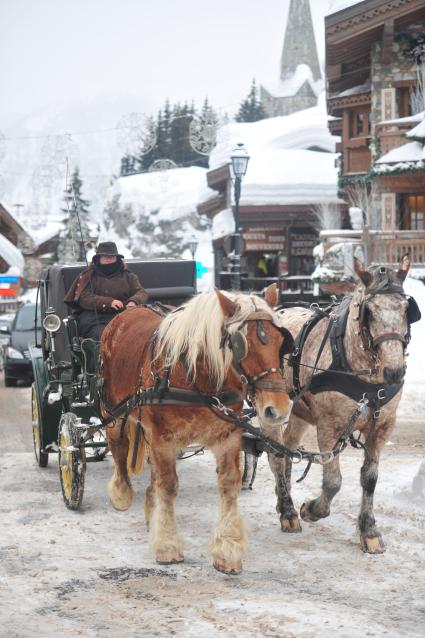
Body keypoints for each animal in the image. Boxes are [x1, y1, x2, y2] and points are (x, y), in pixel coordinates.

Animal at [99, 288, 292, 576]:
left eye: (281, 341)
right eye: (241, 344)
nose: (277, 409)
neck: (196, 378)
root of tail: (128, 311)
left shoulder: (227, 437)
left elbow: (229, 484)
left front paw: (227, 550)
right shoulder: (164, 440)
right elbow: (168, 485)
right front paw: (167, 545)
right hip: (112, 412)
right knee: (119, 449)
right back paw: (121, 492)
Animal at [266, 255, 420, 556]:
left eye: (407, 309)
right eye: (369, 311)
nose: (395, 371)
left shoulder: (382, 427)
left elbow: (370, 478)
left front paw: (369, 530)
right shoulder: (329, 426)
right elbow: (333, 481)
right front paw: (312, 509)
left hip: (300, 412)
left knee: (288, 449)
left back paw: (283, 500)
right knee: (275, 453)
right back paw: (289, 510)